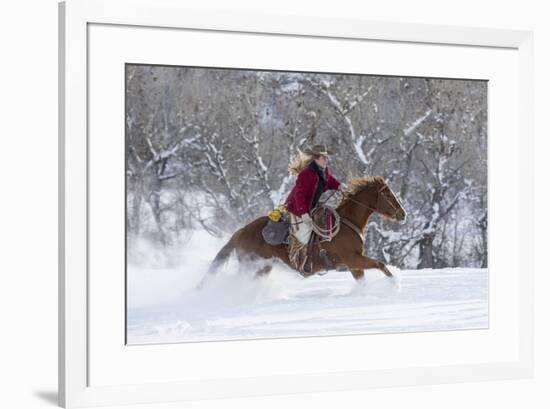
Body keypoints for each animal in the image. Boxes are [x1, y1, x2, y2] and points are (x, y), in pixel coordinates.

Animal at [205, 175, 408, 284]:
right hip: (251, 266)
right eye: (387, 194)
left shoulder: (354, 265)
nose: (402, 213)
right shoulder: (353, 259)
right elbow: (381, 264)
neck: (347, 223)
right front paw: (395, 284)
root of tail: (240, 232)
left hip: (263, 268)